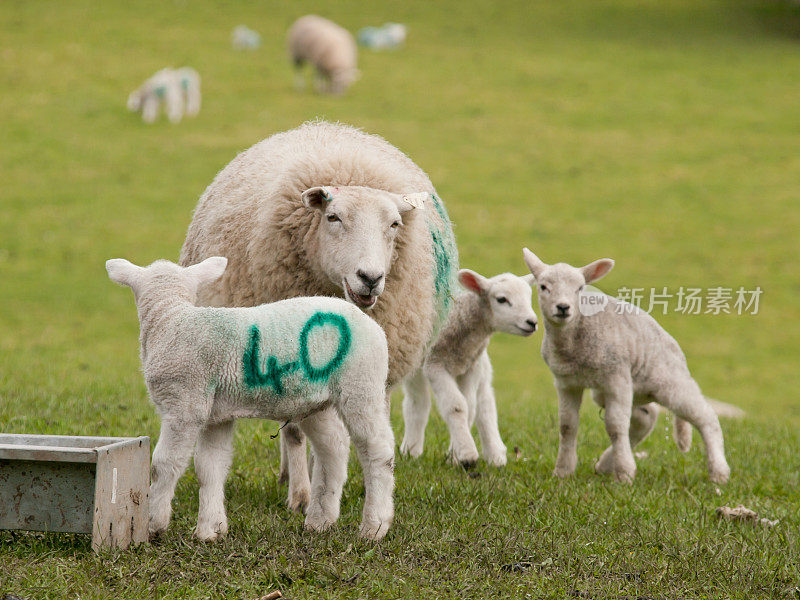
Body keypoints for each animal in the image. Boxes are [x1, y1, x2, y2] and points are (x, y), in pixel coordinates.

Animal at [106, 255, 394, 540]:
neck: (171, 320)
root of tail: (373, 327)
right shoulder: (216, 416)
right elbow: (210, 467)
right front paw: (211, 530)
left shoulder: (185, 405)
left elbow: (164, 464)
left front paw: (154, 523)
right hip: (317, 400)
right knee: (333, 447)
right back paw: (320, 519)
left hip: (361, 385)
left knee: (378, 450)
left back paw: (374, 526)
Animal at [179, 120, 460, 510]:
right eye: (333, 217)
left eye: (394, 224)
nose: (370, 278)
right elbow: (297, 433)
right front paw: (302, 496)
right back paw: (291, 479)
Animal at [400, 268, 536, 468]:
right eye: (502, 299)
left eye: (529, 296)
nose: (532, 322)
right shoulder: (435, 364)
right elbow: (456, 406)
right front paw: (466, 454)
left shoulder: (471, 367)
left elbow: (470, 406)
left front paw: (455, 456)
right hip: (415, 362)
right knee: (418, 402)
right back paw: (410, 451)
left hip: (482, 366)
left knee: (485, 402)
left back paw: (496, 454)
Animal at [520, 246, 736, 486]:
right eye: (543, 287)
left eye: (580, 288)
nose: (563, 307)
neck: (574, 343)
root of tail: (677, 349)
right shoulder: (566, 382)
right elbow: (567, 426)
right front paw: (563, 472)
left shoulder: (617, 377)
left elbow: (615, 425)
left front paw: (624, 474)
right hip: (628, 388)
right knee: (646, 416)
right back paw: (605, 464)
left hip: (669, 382)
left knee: (705, 417)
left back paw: (719, 472)